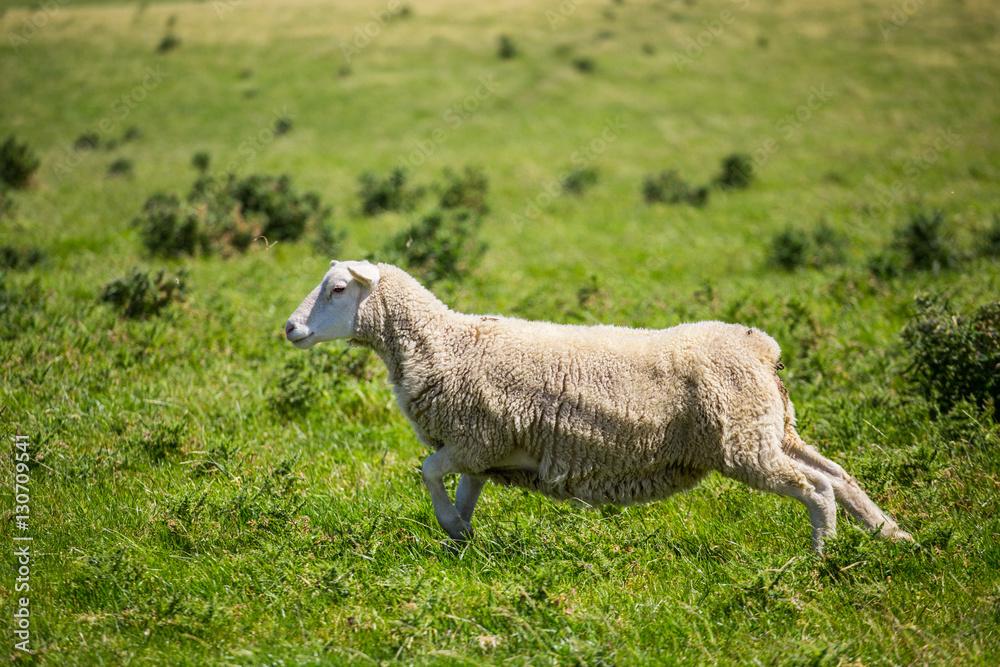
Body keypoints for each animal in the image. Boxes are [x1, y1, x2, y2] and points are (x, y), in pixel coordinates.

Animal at [284, 260, 912, 553]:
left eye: (338, 289)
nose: (290, 328)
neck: (445, 342)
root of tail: (762, 348)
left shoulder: (474, 438)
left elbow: (428, 471)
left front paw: (452, 529)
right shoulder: (481, 450)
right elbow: (461, 490)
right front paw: (460, 539)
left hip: (743, 443)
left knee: (815, 488)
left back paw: (818, 558)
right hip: (770, 430)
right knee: (837, 475)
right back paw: (892, 537)